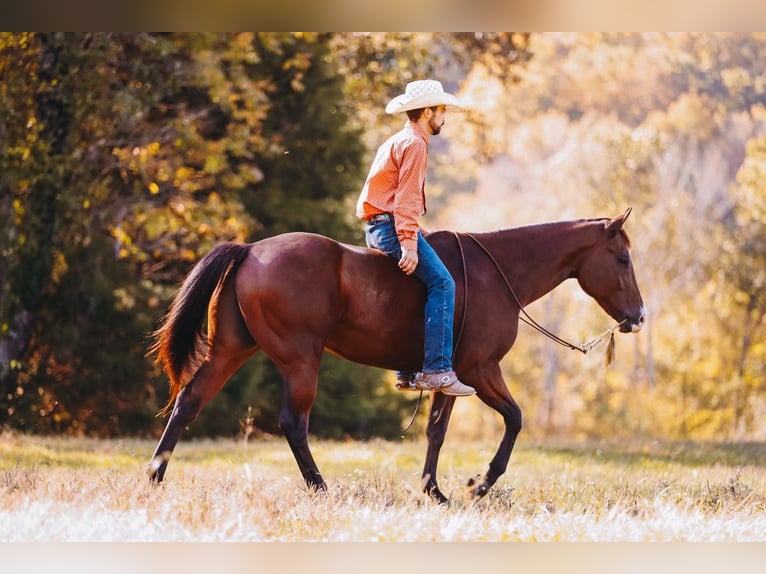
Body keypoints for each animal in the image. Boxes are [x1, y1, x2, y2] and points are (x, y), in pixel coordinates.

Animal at [147, 208, 646, 503]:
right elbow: (515, 419)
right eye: (622, 259)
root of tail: (251, 250)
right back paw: (321, 487)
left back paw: (154, 477)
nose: (639, 316)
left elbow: (436, 432)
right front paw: (479, 484)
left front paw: (435, 492)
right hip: (301, 359)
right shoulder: (482, 370)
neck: (497, 273)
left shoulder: (450, 377)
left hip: (231, 349)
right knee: (293, 423)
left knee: (189, 402)